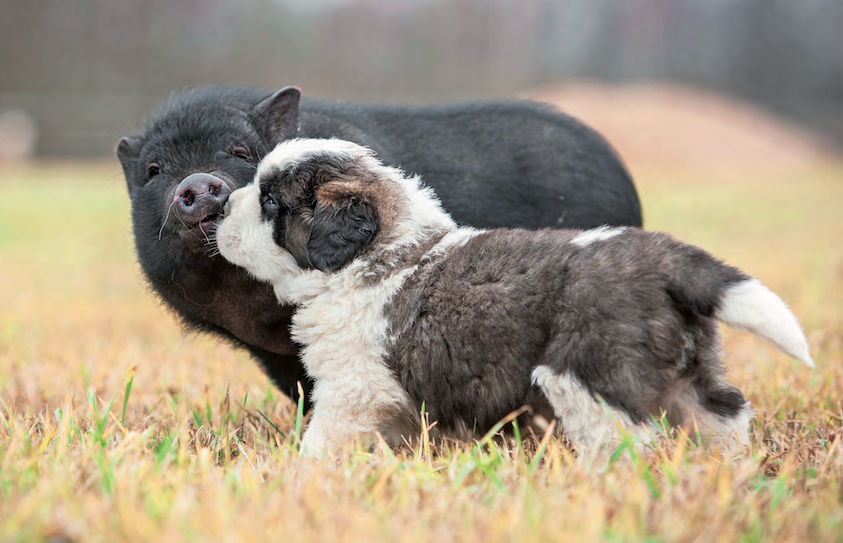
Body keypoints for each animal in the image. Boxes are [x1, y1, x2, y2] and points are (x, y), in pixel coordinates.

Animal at [214, 138, 816, 456]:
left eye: (272, 205)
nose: (218, 208)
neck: (374, 255)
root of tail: (663, 257)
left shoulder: (353, 388)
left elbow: (324, 440)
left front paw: (302, 477)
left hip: (588, 376)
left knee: (625, 440)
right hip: (690, 372)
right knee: (723, 414)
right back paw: (727, 473)